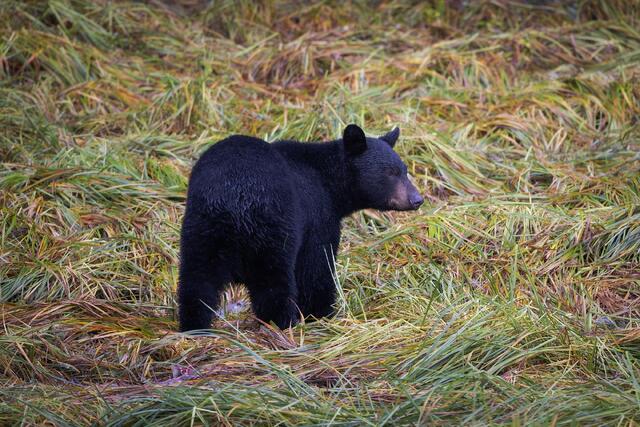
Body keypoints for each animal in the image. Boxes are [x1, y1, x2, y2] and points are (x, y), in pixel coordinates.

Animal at [178, 124, 423, 331]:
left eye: (404, 170)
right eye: (390, 173)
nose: (417, 199)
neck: (329, 183)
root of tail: (233, 196)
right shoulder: (318, 216)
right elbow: (316, 269)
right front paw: (322, 314)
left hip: (202, 229)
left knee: (197, 281)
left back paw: (194, 326)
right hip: (272, 227)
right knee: (273, 284)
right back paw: (283, 323)